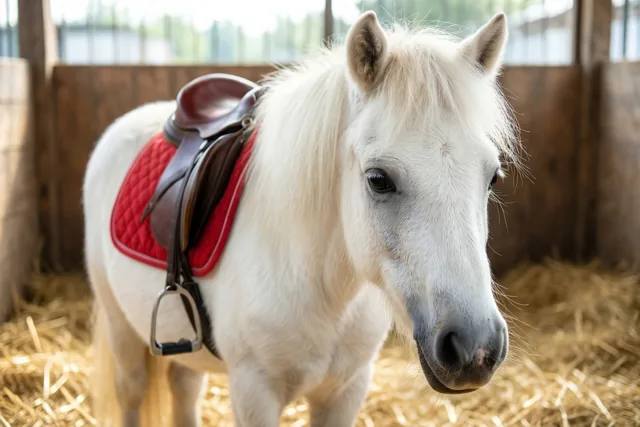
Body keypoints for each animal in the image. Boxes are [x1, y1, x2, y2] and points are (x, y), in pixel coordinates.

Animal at [83, 10, 520, 427]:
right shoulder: (254, 393)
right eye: (378, 179)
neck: (323, 286)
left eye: (492, 177)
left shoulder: (346, 389)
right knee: (131, 392)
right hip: (122, 332)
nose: (474, 347)